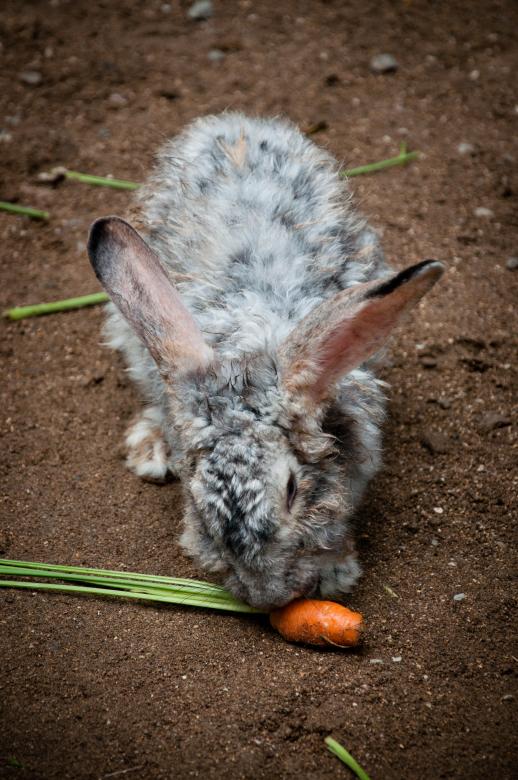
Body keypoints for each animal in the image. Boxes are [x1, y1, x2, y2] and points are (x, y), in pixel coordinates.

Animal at [87, 112, 444, 610]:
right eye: (196, 499)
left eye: (293, 489)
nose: (267, 596)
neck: (246, 350)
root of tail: (233, 124)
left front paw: (337, 571)